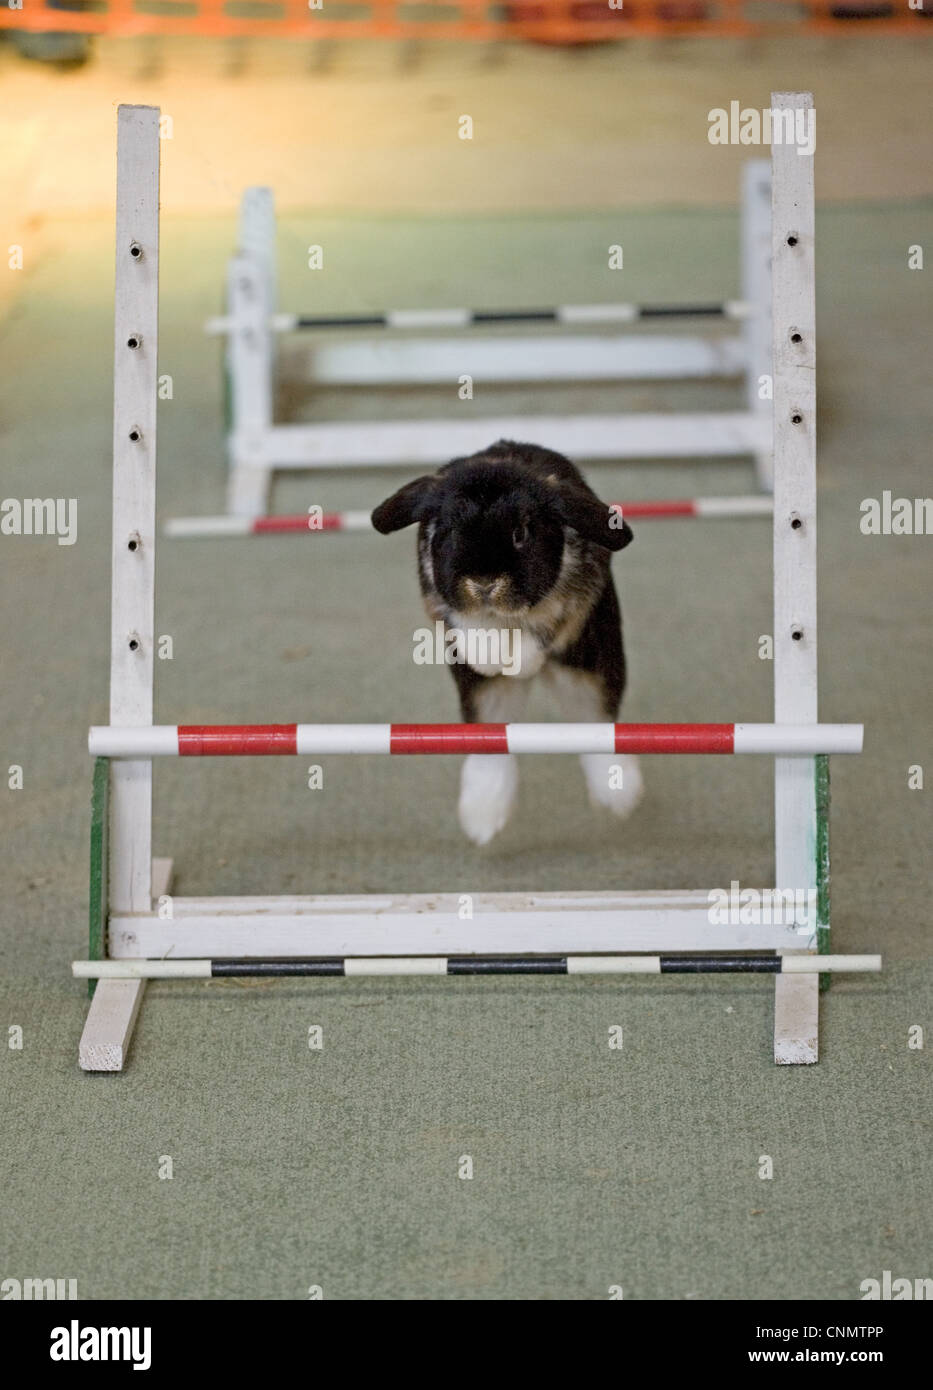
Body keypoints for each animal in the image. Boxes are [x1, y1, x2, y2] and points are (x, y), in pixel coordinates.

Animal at [371, 439, 644, 845]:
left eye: (521, 533)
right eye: (451, 532)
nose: (484, 583)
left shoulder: (573, 603)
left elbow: (544, 622)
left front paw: (520, 658)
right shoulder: (444, 607)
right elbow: (471, 626)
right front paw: (489, 655)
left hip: (592, 669)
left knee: (596, 722)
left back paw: (620, 798)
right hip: (485, 699)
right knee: (491, 743)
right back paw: (483, 820)